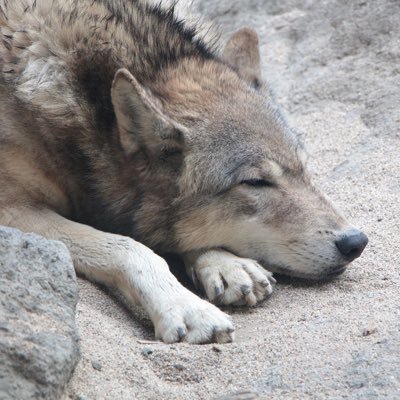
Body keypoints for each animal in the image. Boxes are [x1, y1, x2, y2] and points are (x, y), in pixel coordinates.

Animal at [0, 0, 368, 344]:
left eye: (304, 169)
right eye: (255, 182)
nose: (356, 242)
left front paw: (226, 264)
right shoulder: (13, 208)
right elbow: (129, 248)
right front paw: (187, 308)